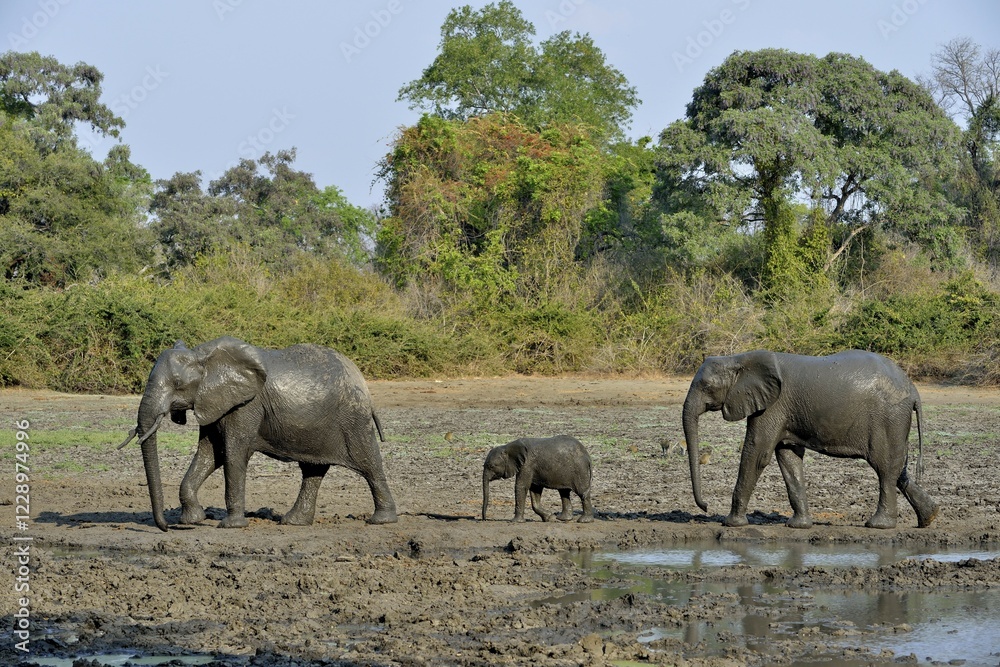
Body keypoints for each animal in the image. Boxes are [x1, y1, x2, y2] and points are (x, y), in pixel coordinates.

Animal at [118, 336, 397, 531]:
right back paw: (293, 522)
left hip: (353, 419)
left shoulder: (246, 405)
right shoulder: (213, 402)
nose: (166, 528)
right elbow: (210, 454)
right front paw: (193, 521)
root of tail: (362, 381)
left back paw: (381, 521)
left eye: (177, 385)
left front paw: (230, 526)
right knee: (313, 470)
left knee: (368, 462)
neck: (203, 357)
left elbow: (233, 454)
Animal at [681, 349, 939, 529]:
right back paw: (929, 518)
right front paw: (799, 526)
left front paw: (731, 523)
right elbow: (788, 458)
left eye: (706, 386)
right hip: (894, 422)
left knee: (885, 468)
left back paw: (878, 525)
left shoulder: (773, 407)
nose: (705, 507)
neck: (739, 359)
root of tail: (913, 389)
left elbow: (757, 454)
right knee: (898, 469)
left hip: (889, 417)